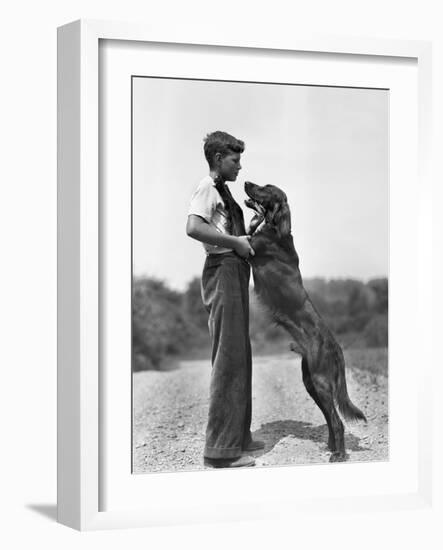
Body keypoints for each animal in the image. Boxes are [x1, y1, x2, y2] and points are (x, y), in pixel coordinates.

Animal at [245, 181, 366, 462]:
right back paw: (332, 447)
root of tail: (336, 347)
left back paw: (339, 454)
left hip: (320, 382)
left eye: (266, 188)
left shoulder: (249, 248)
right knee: (330, 418)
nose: (245, 183)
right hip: (311, 382)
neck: (275, 229)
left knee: (337, 421)